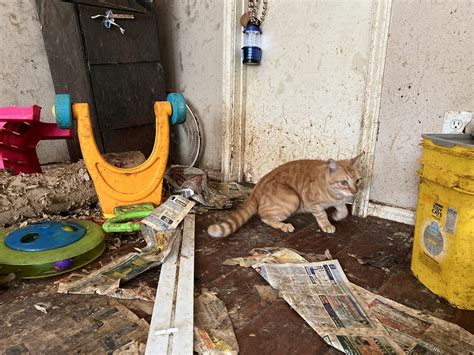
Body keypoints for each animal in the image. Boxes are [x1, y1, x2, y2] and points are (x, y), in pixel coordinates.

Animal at [208, 154, 362, 239]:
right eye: (344, 182)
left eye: (358, 180)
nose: (355, 192)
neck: (335, 194)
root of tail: (255, 190)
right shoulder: (313, 203)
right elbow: (322, 215)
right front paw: (327, 225)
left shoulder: (340, 202)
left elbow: (344, 211)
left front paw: (337, 216)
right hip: (293, 199)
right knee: (264, 216)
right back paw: (283, 225)